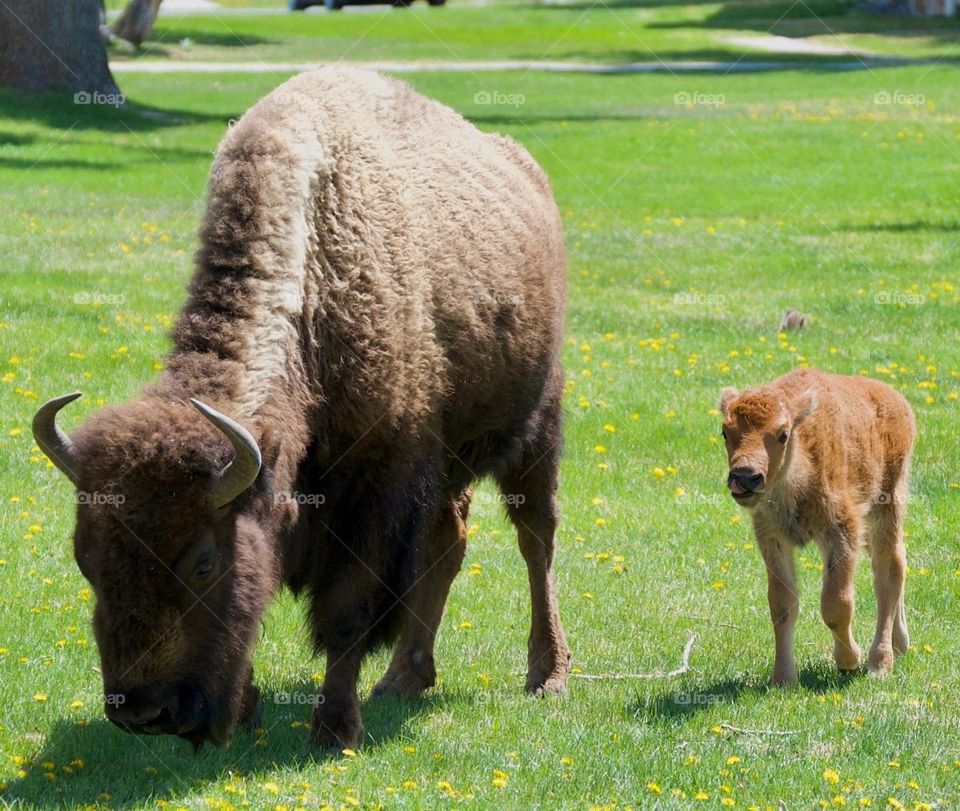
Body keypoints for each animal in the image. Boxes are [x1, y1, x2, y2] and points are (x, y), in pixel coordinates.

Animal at [35, 68, 568, 748]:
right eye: (84, 557)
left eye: (203, 562)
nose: (141, 712)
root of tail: (527, 172)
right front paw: (248, 708)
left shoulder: (375, 493)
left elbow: (345, 613)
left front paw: (335, 731)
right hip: (450, 466)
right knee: (449, 543)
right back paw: (403, 679)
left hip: (538, 425)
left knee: (535, 536)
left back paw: (547, 675)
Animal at [720, 370, 916, 684]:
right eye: (725, 432)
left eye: (783, 434)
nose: (745, 477)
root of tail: (896, 400)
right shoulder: (772, 536)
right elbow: (782, 603)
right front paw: (783, 679)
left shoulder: (842, 529)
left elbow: (836, 604)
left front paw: (849, 661)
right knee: (889, 564)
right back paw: (899, 644)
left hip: (888, 502)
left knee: (890, 569)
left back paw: (879, 664)